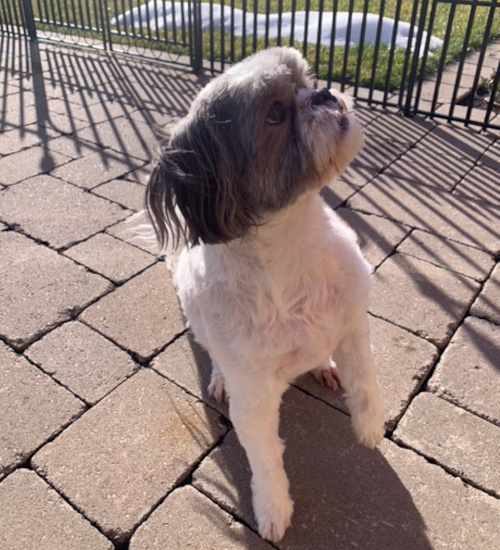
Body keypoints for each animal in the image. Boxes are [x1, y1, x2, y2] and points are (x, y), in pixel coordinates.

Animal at [144, 46, 382, 544]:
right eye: (274, 112)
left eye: (306, 81)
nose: (325, 93)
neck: (292, 247)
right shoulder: (253, 395)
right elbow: (266, 458)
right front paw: (273, 509)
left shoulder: (352, 320)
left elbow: (365, 377)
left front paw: (370, 425)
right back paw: (218, 378)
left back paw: (324, 364)